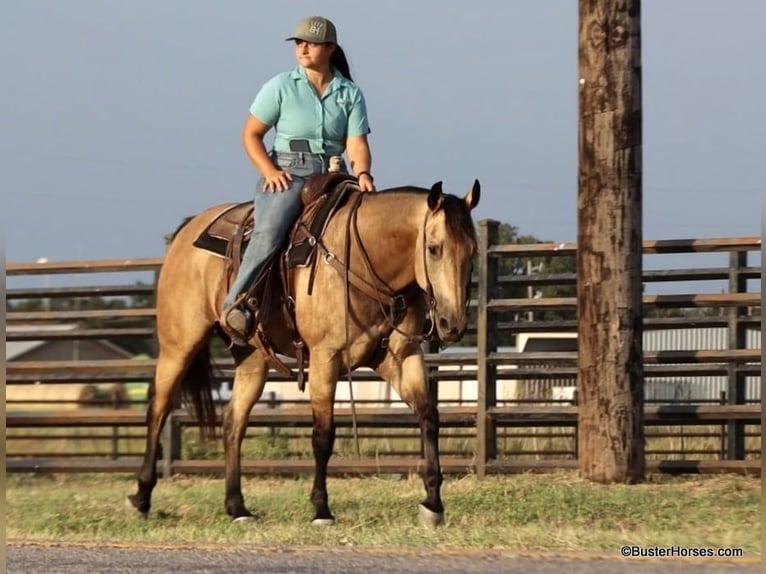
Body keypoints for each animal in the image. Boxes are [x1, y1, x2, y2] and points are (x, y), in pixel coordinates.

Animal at [127, 178, 480, 526]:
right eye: (434, 248)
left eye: (473, 251)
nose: (452, 323)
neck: (364, 261)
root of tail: (188, 230)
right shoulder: (326, 358)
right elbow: (323, 434)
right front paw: (321, 509)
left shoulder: (401, 357)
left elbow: (429, 417)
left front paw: (433, 503)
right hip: (179, 345)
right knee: (158, 410)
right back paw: (141, 498)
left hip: (252, 359)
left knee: (233, 422)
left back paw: (237, 507)